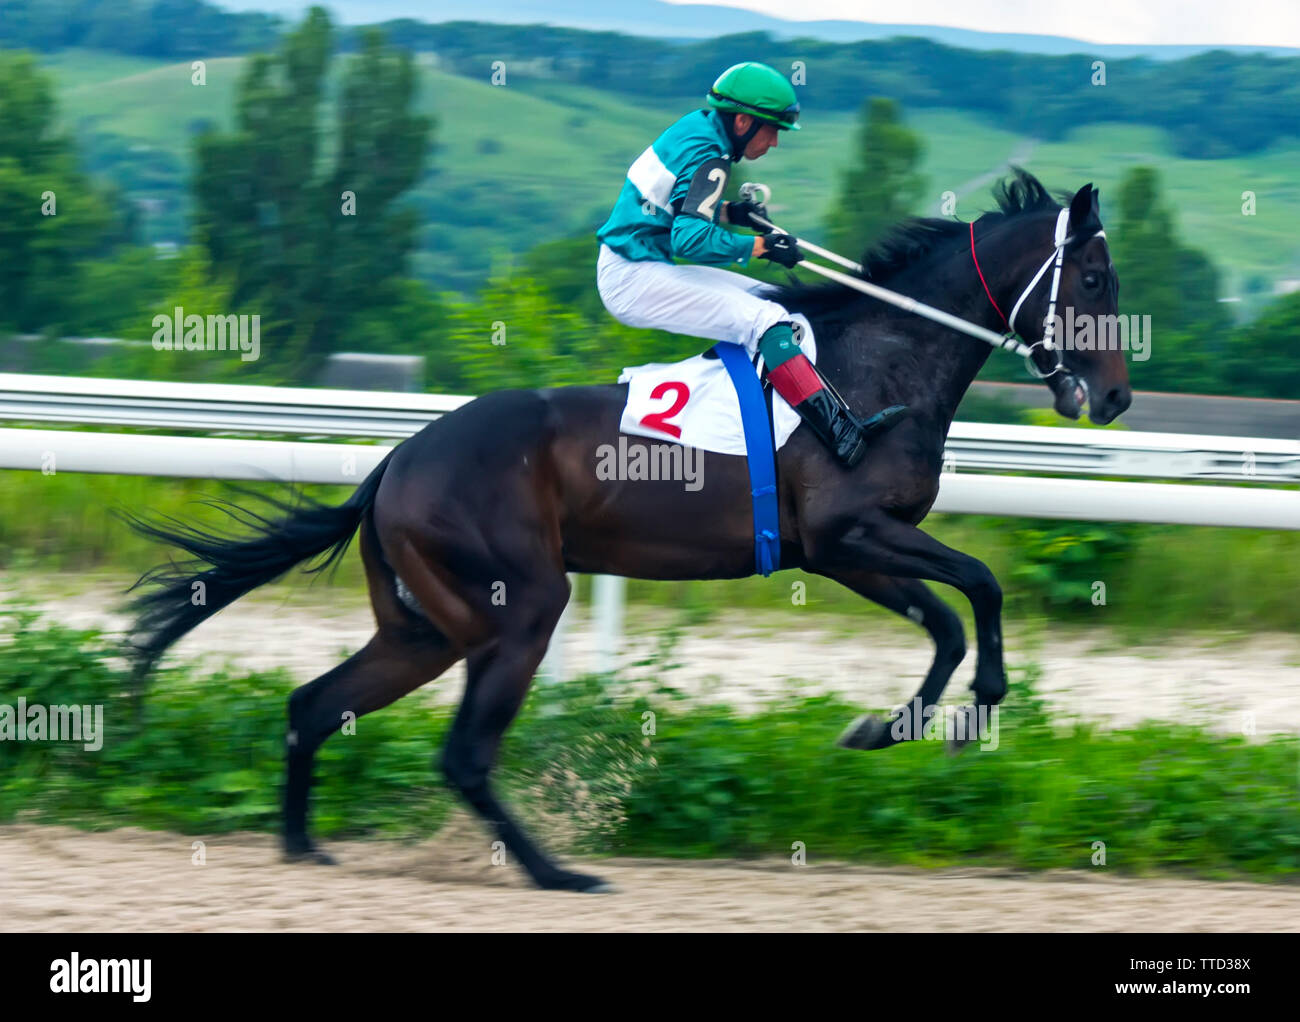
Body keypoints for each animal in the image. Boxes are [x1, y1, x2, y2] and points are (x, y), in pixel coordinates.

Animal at [121, 168, 1129, 892]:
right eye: (1092, 278)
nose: (1115, 396)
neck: (878, 364)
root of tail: (396, 462)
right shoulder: (850, 533)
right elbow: (980, 590)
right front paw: (960, 714)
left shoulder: (846, 553)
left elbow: (952, 618)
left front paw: (896, 727)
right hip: (521, 605)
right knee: (464, 754)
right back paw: (554, 873)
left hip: (424, 627)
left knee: (315, 706)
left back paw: (304, 847)